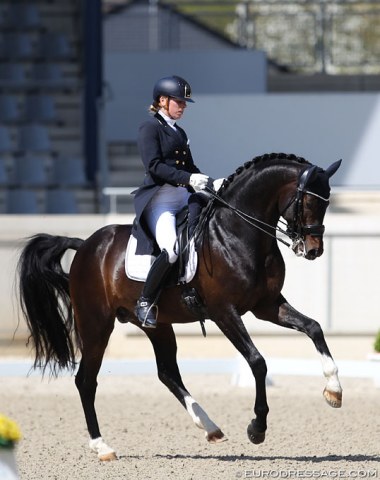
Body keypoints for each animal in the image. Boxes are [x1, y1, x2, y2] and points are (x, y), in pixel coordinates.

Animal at [17, 154, 344, 462]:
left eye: (327, 201)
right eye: (309, 201)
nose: (313, 250)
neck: (237, 232)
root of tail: (86, 245)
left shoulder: (266, 305)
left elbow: (314, 327)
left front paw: (334, 391)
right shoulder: (224, 312)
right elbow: (257, 361)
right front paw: (257, 429)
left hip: (156, 325)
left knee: (167, 373)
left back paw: (210, 427)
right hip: (95, 325)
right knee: (86, 381)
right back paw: (103, 447)